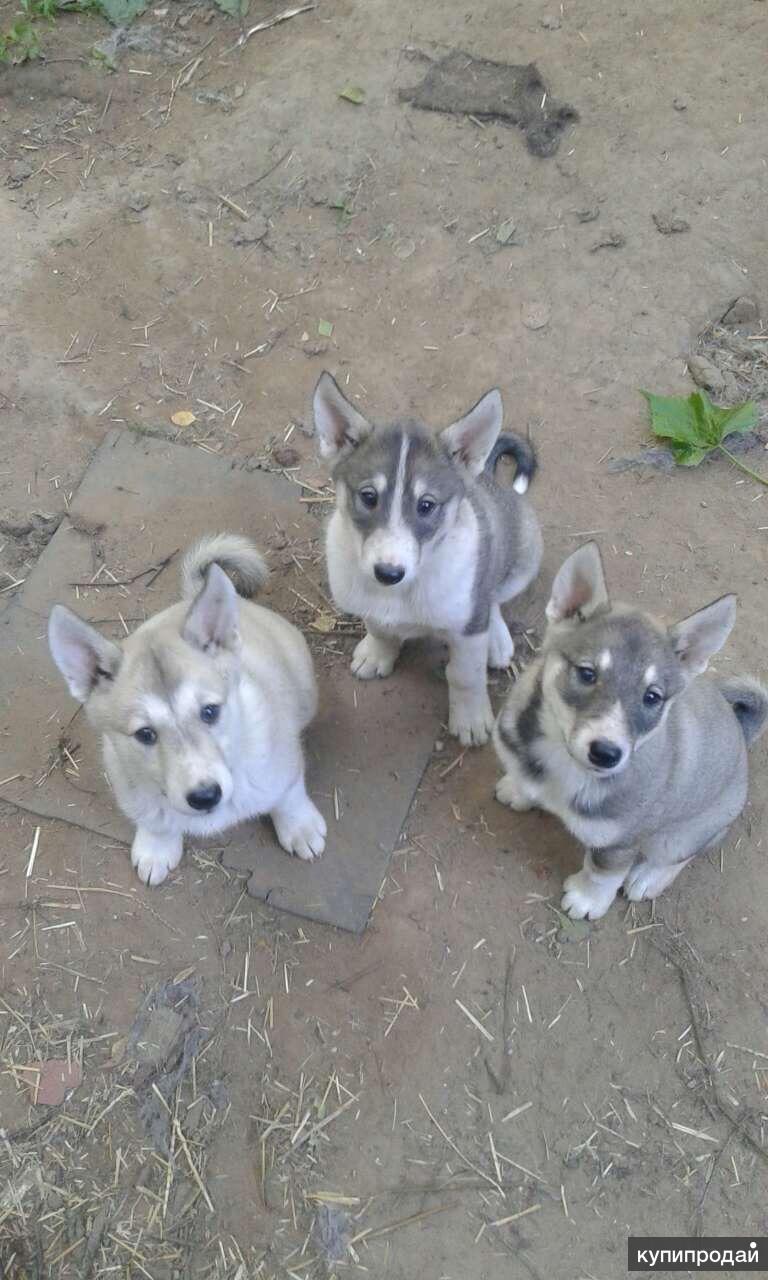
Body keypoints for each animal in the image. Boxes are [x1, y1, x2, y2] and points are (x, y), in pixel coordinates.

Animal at [48, 535, 323, 885]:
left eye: (210, 712)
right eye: (145, 734)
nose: (205, 796)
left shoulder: (283, 761)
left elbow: (289, 794)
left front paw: (300, 827)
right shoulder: (128, 782)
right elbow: (154, 820)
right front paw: (156, 848)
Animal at [311, 371, 540, 747]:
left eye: (427, 505)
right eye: (369, 497)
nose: (388, 573)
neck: (403, 591)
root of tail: (486, 477)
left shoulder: (466, 630)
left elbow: (465, 675)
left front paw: (470, 718)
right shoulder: (367, 602)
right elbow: (379, 627)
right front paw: (378, 653)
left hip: (524, 559)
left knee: (492, 597)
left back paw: (497, 639)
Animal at [494, 540, 762, 921]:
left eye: (652, 697)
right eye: (587, 673)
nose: (606, 754)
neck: (565, 765)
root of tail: (741, 731)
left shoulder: (620, 842)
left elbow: (602, 871)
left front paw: (587, 899)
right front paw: (519, 789)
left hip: (683, 833)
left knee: (682, 853)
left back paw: (648, 877)